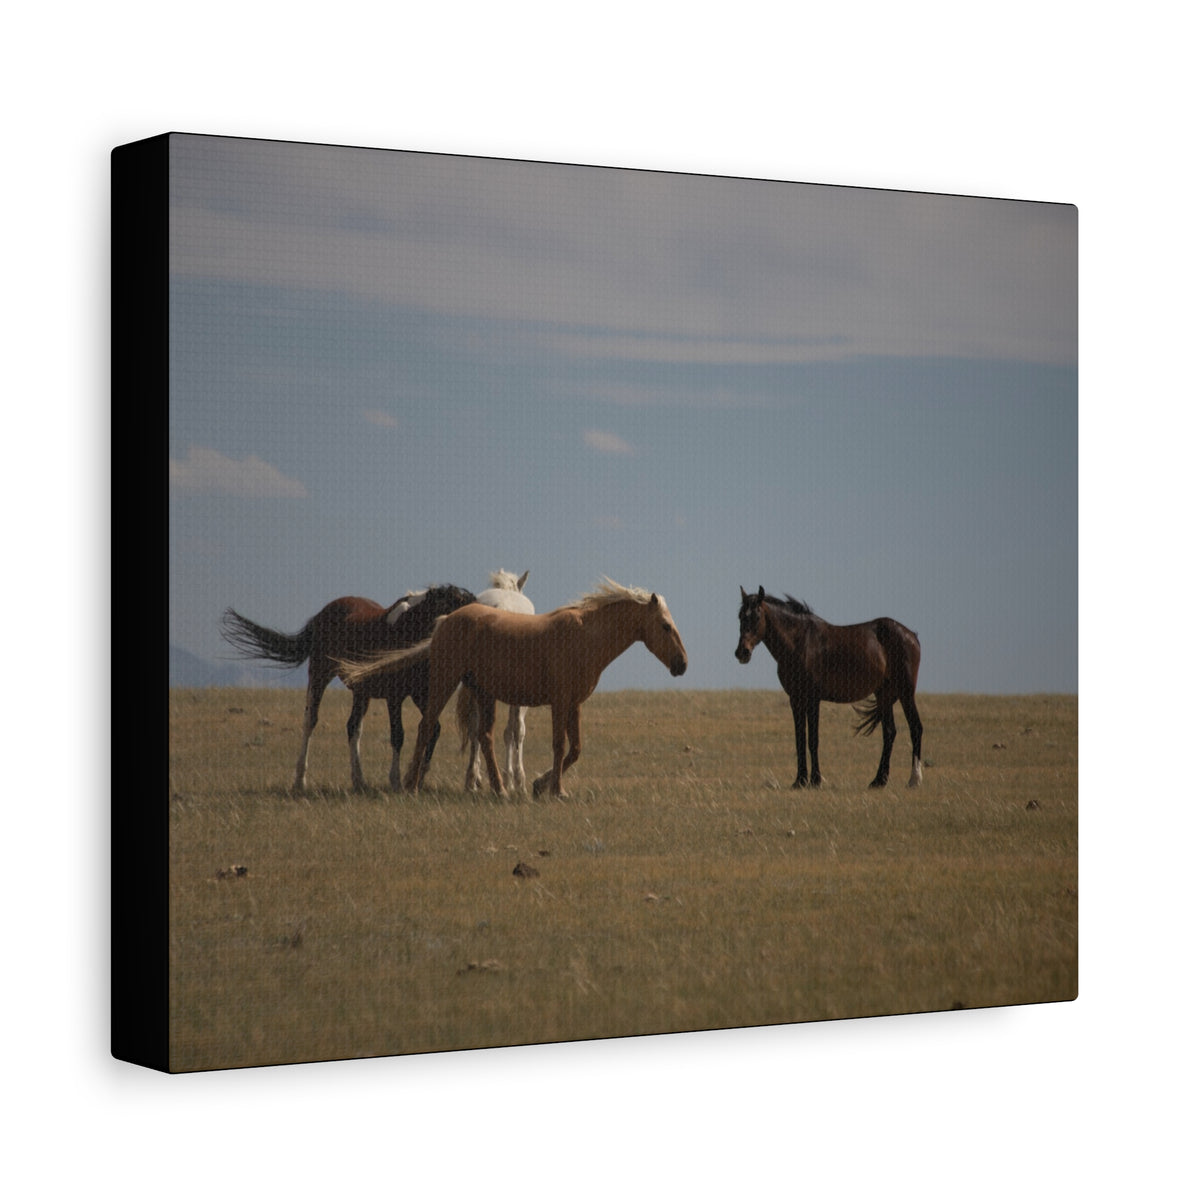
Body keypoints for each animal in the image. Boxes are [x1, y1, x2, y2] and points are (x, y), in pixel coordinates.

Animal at [219, 584, 476, 793]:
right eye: (460, 606)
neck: (407, 630)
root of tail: (322, 613)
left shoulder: (421, 694)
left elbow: (432, 729)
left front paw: (417, 780)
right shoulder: (395, 698)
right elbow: (398, 736)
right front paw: (395, 781)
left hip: (361, 692)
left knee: (353, 727)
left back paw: (359, 781)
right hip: (320, 675)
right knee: (310, 721)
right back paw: (300, 781)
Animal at [734, 586, 923, 789]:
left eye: (756, 616)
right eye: (740, 616)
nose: (742, 652)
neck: (800, 643)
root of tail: (911, 636)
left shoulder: (813, 699)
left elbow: (813, 739)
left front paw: (815, 780)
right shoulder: (795, 699)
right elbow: (800, 739)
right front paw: (800, 780)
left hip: (906, 692)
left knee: (915, 727)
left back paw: (914, 779)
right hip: (884, 695)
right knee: (889, 732)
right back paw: (878, 780)